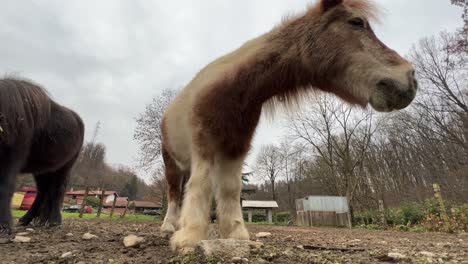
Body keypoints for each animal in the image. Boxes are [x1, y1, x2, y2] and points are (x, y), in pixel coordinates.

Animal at [0, 77, 84, 242]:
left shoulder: (11, 160)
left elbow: (4, 188)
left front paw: (4, 228)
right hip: (43, 169)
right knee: (43, 191)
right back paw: (26, 219)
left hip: (65, 166)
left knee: (57, 189)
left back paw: (54, 221)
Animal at [160, 0, 416, 252]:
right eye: (356, 22)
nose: (410, 79)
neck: (233, 90)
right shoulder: (204, 145)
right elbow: (201, 185)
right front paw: (190, 235)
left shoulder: (235, 148)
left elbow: (230, 188)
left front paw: (234, 233)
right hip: (171, 162)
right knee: (174, 192)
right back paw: (169, 226)